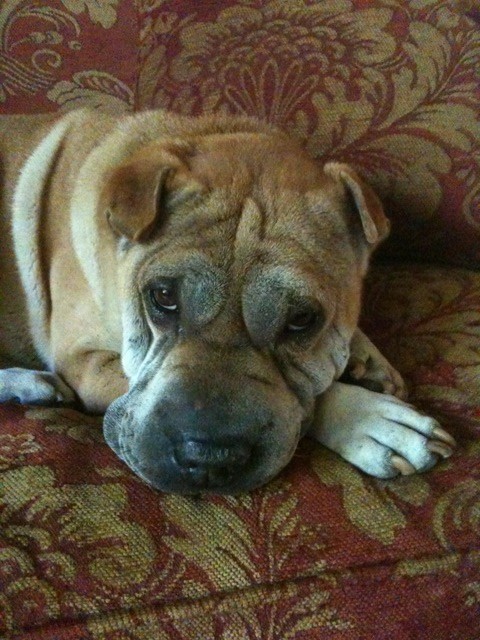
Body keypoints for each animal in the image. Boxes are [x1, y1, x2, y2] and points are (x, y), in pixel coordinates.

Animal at [0, 109, 456, 494]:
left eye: (302, 319)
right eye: (162, 297)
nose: (208, 459)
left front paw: (366, 357)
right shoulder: (86, 362)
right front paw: (369, 419)